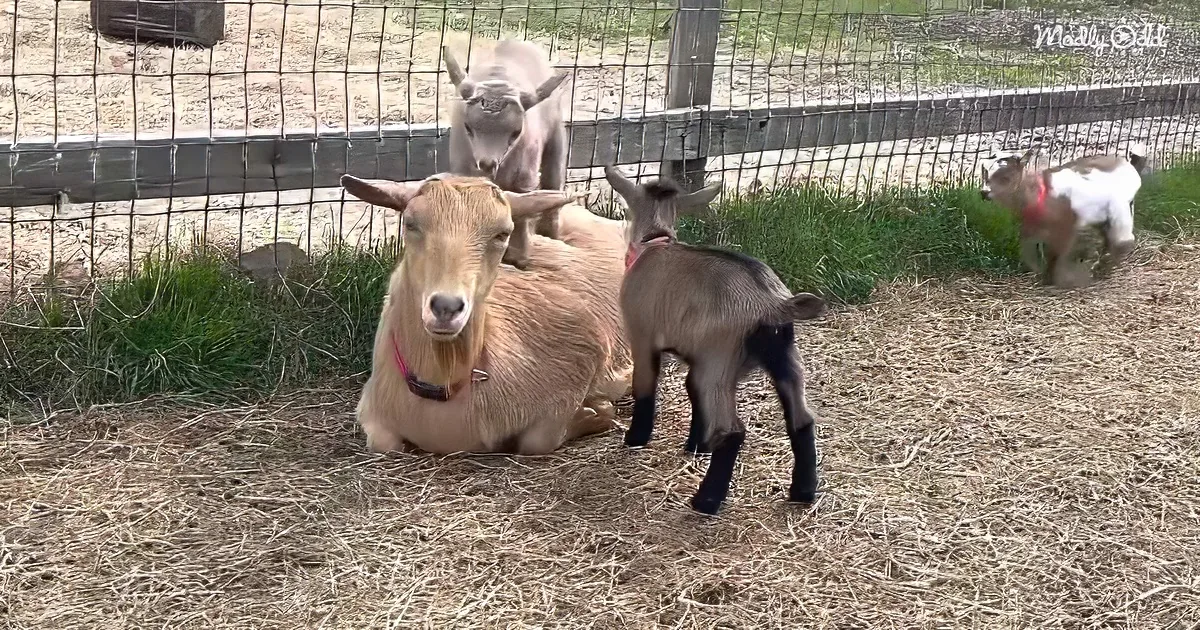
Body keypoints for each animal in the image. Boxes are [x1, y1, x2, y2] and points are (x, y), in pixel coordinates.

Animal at [342, 172, 632, 456]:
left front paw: (594, 412)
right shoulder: (371, 407)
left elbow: (537, 441)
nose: (446, 307)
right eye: (410, 223)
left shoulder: (585, 347)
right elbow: (383, 444)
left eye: (503, 234)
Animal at [442, 39, 570, 271]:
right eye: (467, 127)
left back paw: (549, 234)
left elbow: (524, 206)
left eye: (516, 132)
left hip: (556, 133)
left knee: (553, 181)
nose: (487, 163)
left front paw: (518, 257)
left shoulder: (525, 174)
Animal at [605, 165, 828, 515]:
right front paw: (697, 444)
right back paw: (803, 491)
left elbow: (646, 387)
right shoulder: (696, 356)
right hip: (781, 357)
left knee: (733, 430)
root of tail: (771, 304)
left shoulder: (642, 337)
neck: (655, 243)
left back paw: (707, 500)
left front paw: (636, 437)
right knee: (802, 419)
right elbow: (692, 392)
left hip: (721, 361)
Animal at [979, 144, 1149, 288]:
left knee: (1123, 240)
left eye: (1006, 177)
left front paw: (1051, 281)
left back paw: (1102, 269)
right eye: (985, 172)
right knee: (1108, 239)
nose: (984, 192)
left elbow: (1054, 254)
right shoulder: (1031, 227)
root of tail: (1128, 165)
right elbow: (1029, 251)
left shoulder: (1065, 228)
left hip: (1120, 207)